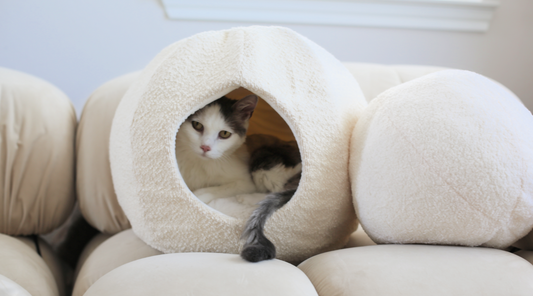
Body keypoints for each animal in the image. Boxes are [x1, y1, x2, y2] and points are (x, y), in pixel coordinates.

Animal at [175, 94, 300, 262]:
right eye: (197, 125)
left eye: (224, 134)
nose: (205, 147)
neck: (199, 162)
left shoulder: (245, 181)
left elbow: (221, 188)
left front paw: (198, 195)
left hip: (263, 158)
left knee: (278, 189)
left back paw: (247, 199)